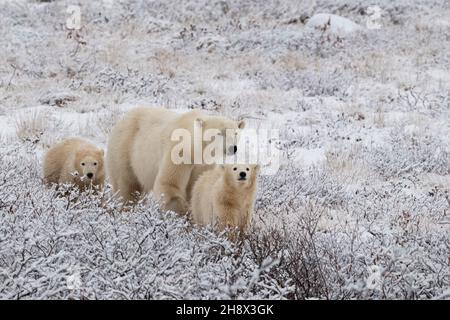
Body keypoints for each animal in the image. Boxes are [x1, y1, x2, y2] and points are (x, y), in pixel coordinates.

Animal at [106, 106, 244, 214]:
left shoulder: (203, 164)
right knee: (126, 185)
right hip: (124, 148)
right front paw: (184, 215)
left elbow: (198, 187)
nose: (233, 148)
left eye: (236, 133)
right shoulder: (178, 152)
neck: (196, 150)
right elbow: (169, 183)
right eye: (220, 133)